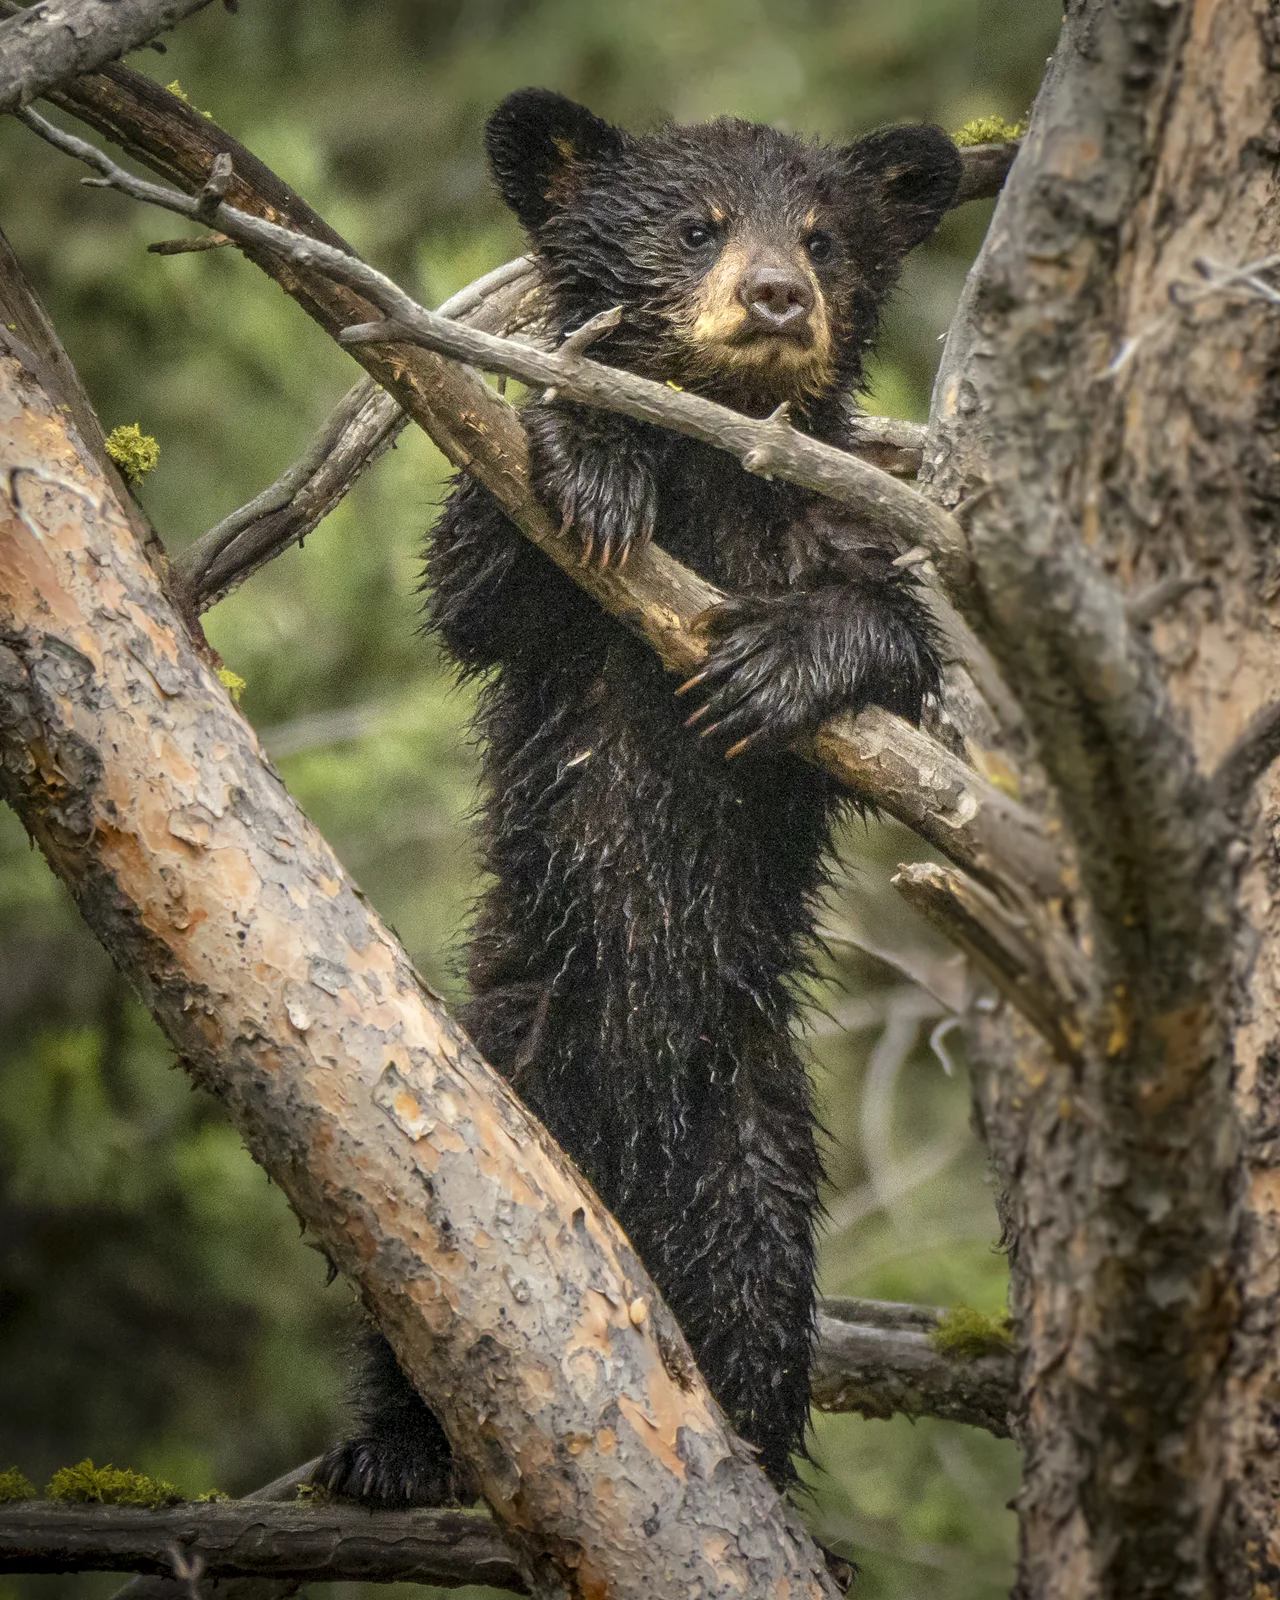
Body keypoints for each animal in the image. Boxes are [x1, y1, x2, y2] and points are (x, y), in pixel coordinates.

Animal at [315, 89, 960, 1506]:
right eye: (694, 225)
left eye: (823, 237)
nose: (776, 296)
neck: (714, 472)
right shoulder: (534, 607)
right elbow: (476, 580)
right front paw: (598, 462)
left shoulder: (826, 524)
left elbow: (905, 655)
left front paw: (775, 664)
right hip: (500, 1087)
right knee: (421, 1298)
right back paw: (386, 1450)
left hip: (754, 1129)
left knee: (760, 1296)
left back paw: (756, 1460)